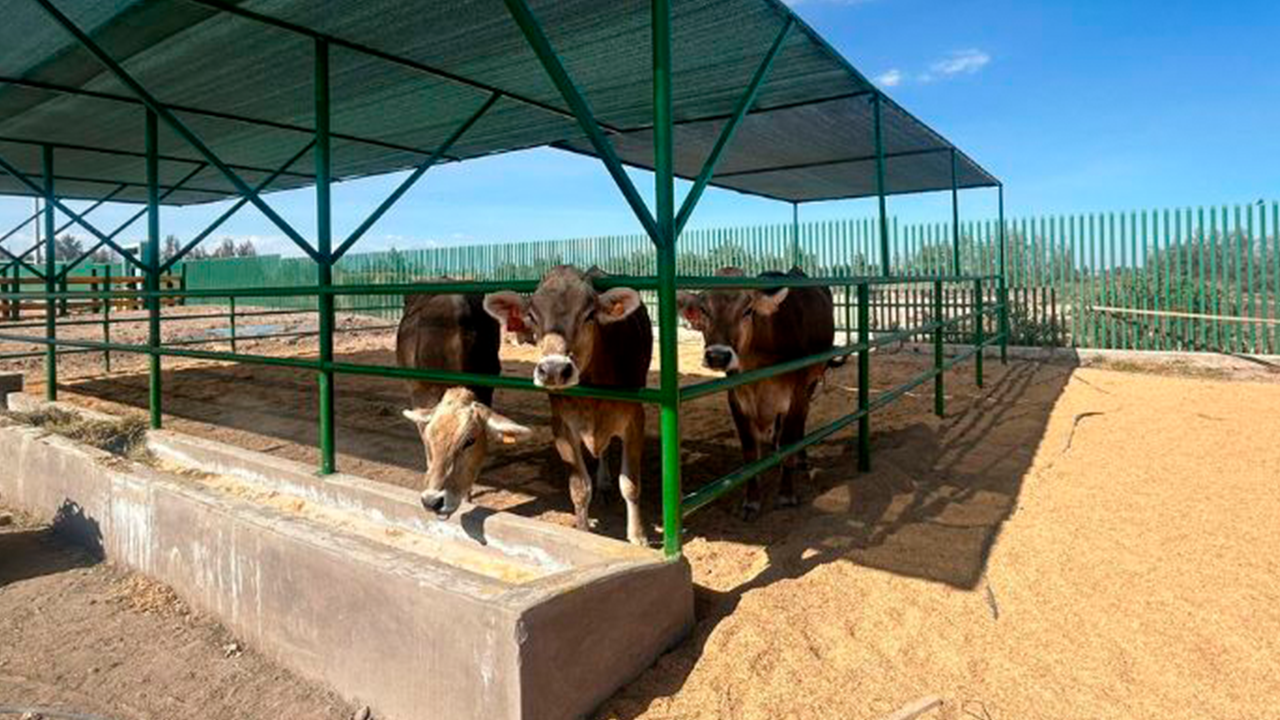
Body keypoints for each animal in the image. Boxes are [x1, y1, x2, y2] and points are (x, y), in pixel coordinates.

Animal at [483, 266, 653, 546]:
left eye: (590, 314)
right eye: (532, 315)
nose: (553, 370)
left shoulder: (635, 420)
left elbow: (631, 485)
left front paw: (639, 537)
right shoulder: (562, 426)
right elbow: (580, 488)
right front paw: (583, 531)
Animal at [677, 266, 836, 519]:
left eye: (747, 310)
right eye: (704, 309)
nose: (718, 356)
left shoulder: (797, 392)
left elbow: (789, 439)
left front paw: (786, 494)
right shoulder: (736, 399)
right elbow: (750, 452)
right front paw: (751, 501)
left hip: (811, 382)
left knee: (801, 421)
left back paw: (801, 458)